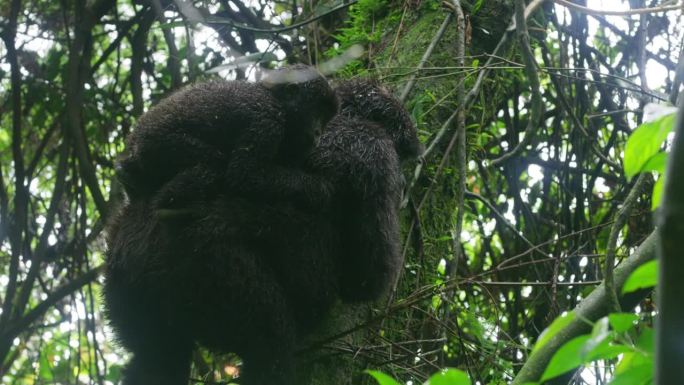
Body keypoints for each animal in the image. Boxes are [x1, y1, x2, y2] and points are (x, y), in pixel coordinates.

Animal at [102, 72, 422, 384]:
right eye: (401, 155)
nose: (405, 179)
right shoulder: (376, 151)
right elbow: (370, 276)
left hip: (125, 291)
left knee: (156, 358)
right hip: (227, 281)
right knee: (271, 348)